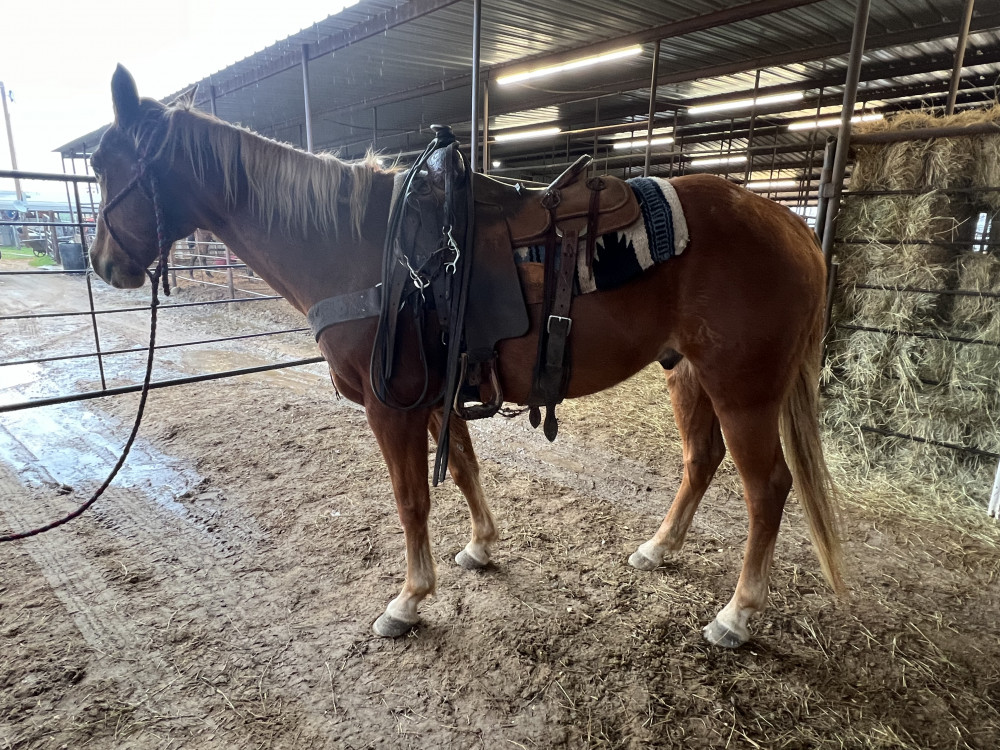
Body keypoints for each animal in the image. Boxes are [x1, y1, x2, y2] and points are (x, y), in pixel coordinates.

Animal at [89, 65, 843, 648]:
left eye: (102, 164)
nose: (102, 263)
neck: (363, 248)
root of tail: (790, 225)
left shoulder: (391, 404)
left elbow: (412, 498)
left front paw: (408, 600)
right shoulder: (435, 392)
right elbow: (464, 468)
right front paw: (480, 546)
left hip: (743, 389)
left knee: (768, 488)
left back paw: (736, 615)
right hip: (688, 375)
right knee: (702, 461)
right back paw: (659, 550)